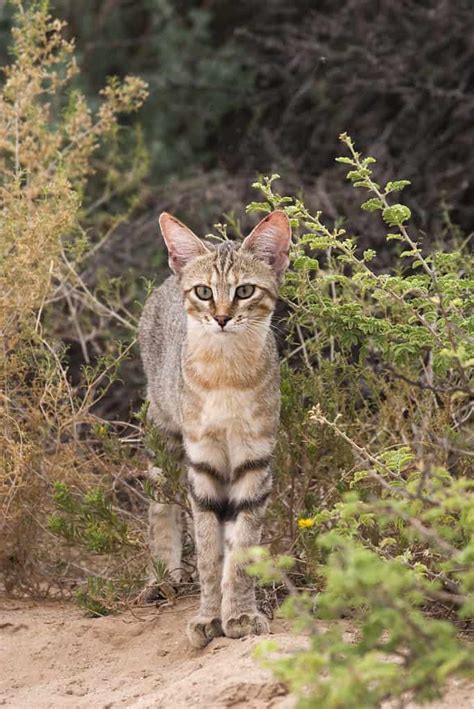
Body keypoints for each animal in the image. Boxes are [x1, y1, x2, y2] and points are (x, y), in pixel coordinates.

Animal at [139, 209, 290, 648]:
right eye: (204, 292)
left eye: (245, 290)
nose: (221, 318)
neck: (226, 374)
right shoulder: (202, 463)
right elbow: (208, 551)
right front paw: (208, 617)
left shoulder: (254, 461)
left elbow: (240, 551)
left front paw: (239, 613)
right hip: (163, 433)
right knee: (160, 506)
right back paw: (163, 576)